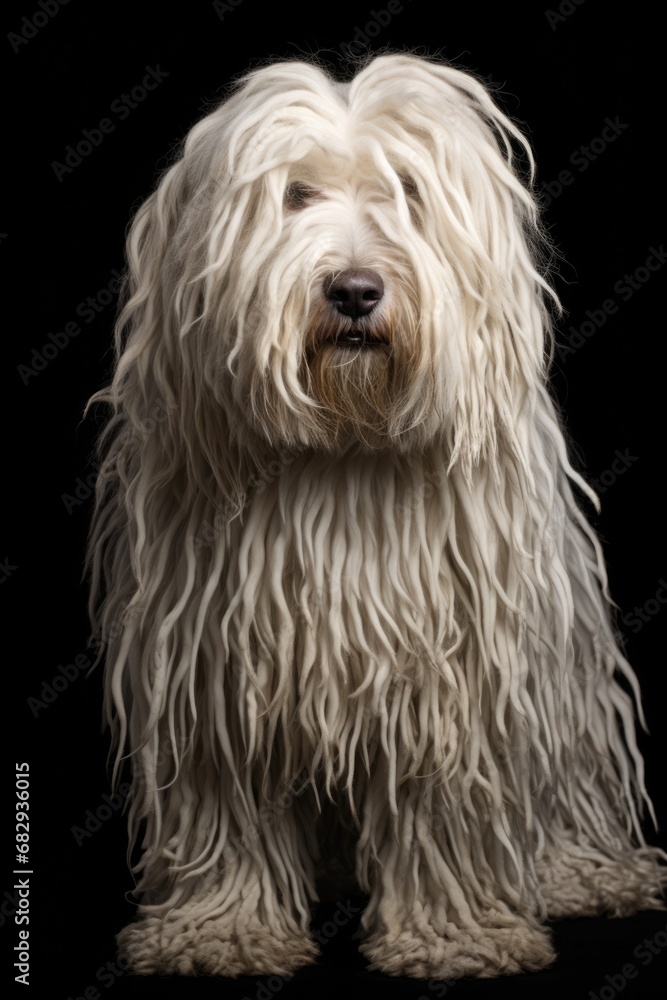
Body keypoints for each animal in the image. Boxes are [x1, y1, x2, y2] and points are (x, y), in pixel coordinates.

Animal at [88, 52, 667, 976]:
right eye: (293, 195)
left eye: (408, 190)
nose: (355, 291)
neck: (344, 445)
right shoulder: (212, 661)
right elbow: (225, 794)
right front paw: (219, 930)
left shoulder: (450, 668)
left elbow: (442, 802)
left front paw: (455, 935)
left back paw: (586, 873)